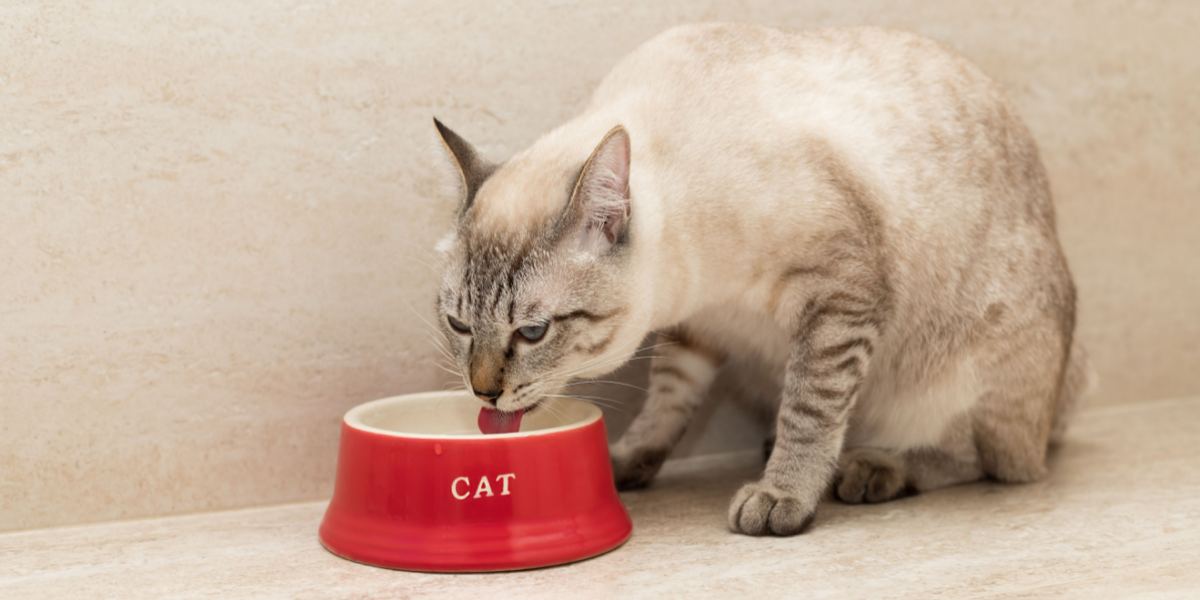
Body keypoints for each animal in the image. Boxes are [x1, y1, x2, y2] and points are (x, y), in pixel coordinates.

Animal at [429, 23, 1089, 537]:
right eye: (459, 324)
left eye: (533, 332)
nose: (484, 394)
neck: (688, 281)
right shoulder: (698, 328)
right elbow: (667, 405)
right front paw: (624, 463)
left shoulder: (840, 294)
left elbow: (809, 409)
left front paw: (784, 496)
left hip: (971, 371)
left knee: (992, 460)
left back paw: (869, 467)